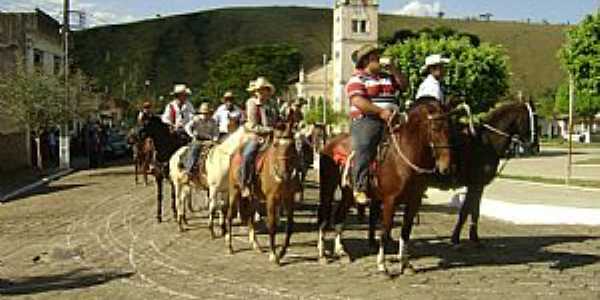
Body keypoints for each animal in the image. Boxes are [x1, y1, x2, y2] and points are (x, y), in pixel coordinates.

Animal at [225, 118, 300, 264]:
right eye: (275, 144)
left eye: (292, 144)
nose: (284, 174)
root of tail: (235, 154)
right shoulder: (271, 199)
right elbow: (271, 224)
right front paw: (273, 254)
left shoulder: (289, 198)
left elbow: (290, 225)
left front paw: (281, 253)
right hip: (234, 191)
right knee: (230, 215)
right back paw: (229, 247)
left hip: (253, 196)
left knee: (250, 216)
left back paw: (256, 245)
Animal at [316, 100, 452, 274]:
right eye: (435, 128)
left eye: (450, 128)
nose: (446, 167)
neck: (402, 158)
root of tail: (330, 143)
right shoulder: (390, 201)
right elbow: (385, 231)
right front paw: (382, 265)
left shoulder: (414, 201)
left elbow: (405, 232)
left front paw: (406, 264)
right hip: (328, 186)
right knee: (323, 215)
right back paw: (322, 255)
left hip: (348, 193)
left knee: (339, 217)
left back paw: (342, 252)